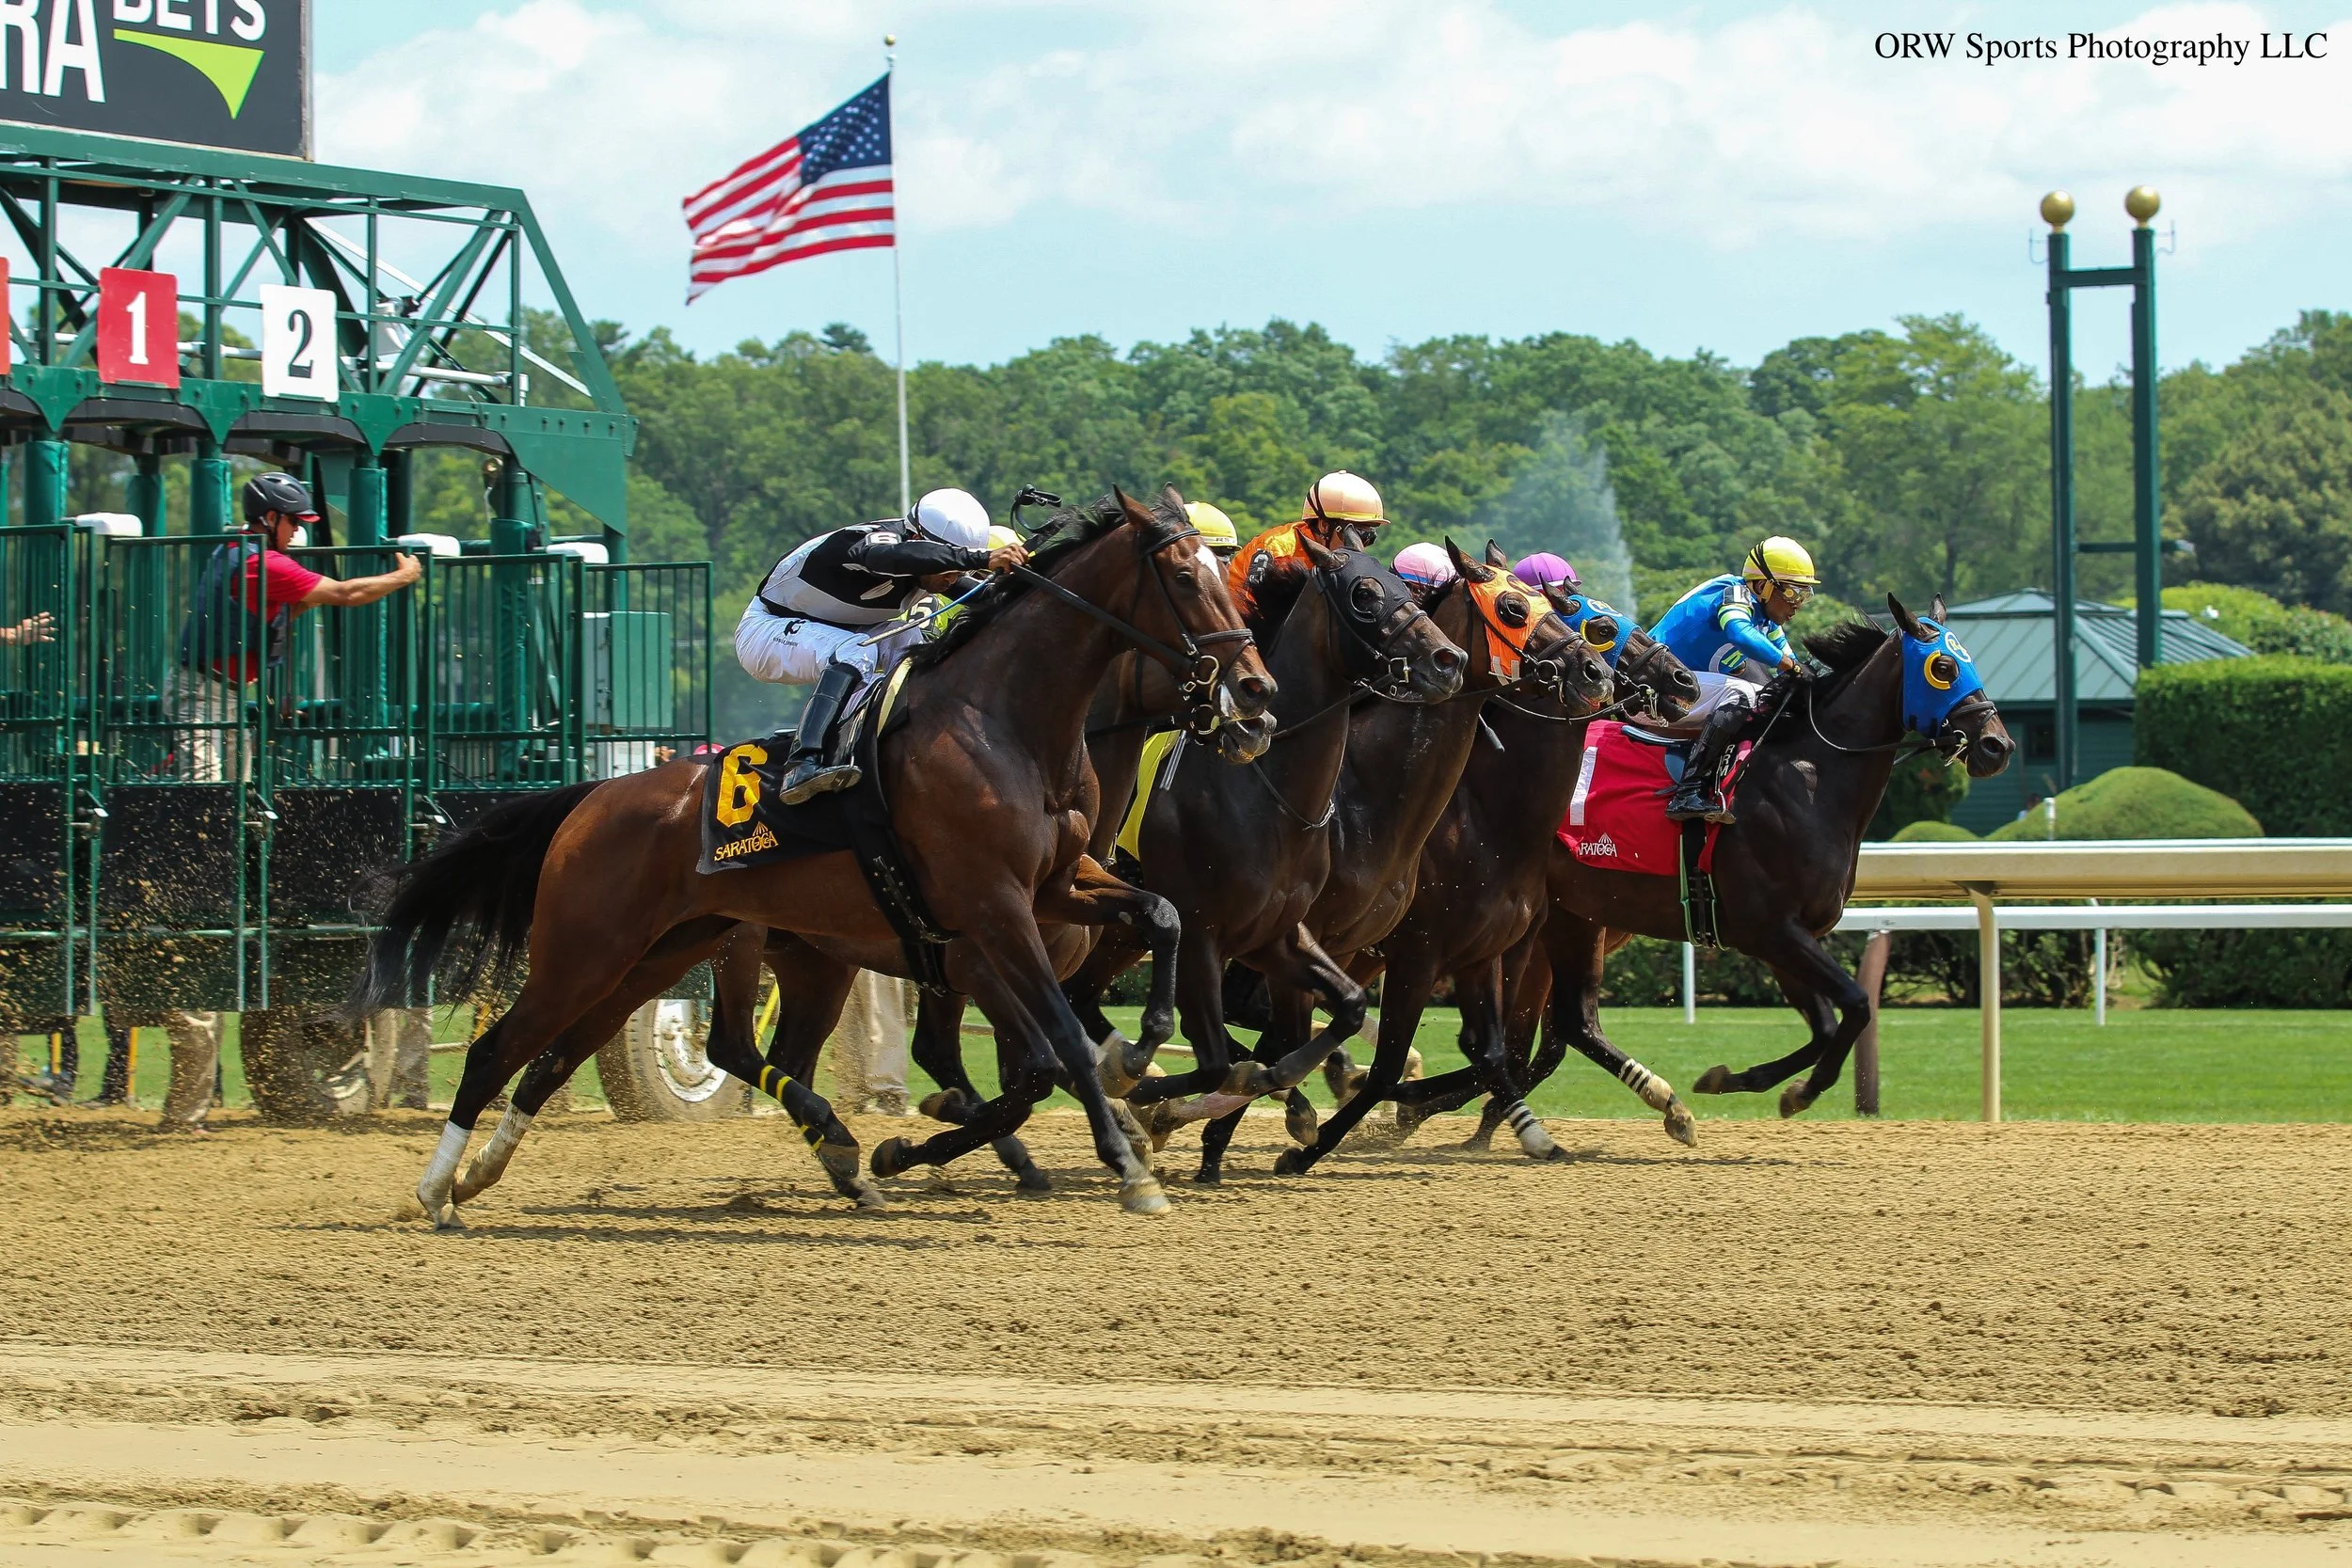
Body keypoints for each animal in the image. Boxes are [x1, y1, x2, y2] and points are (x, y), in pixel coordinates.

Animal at [355, 487, 1274, 1224]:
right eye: (1184, 577)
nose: (1258, 696)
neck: (1006, 721)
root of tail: (593, 797)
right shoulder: (992, 914)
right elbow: (1058, 1048)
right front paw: (1125, 1161)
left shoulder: (1054, 886)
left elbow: (1159, 917)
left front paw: (1142, 1050)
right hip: (591, 947)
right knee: (505, 1050)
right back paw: (438, 1190)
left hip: (664, 955)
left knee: (558, 1058)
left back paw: (486, 1171)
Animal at [1395, 595, 2012, 1140]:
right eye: (1943, 667)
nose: (1996, 745)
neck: (1810, 775)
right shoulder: (1772, 929)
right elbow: (1857, 1007)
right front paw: (1800, 1091)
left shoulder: (1784, 938)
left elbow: (1825, 1025)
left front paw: (1741, 1080)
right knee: (1518, 1034)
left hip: (1574, 916)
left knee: (1562, 1028)